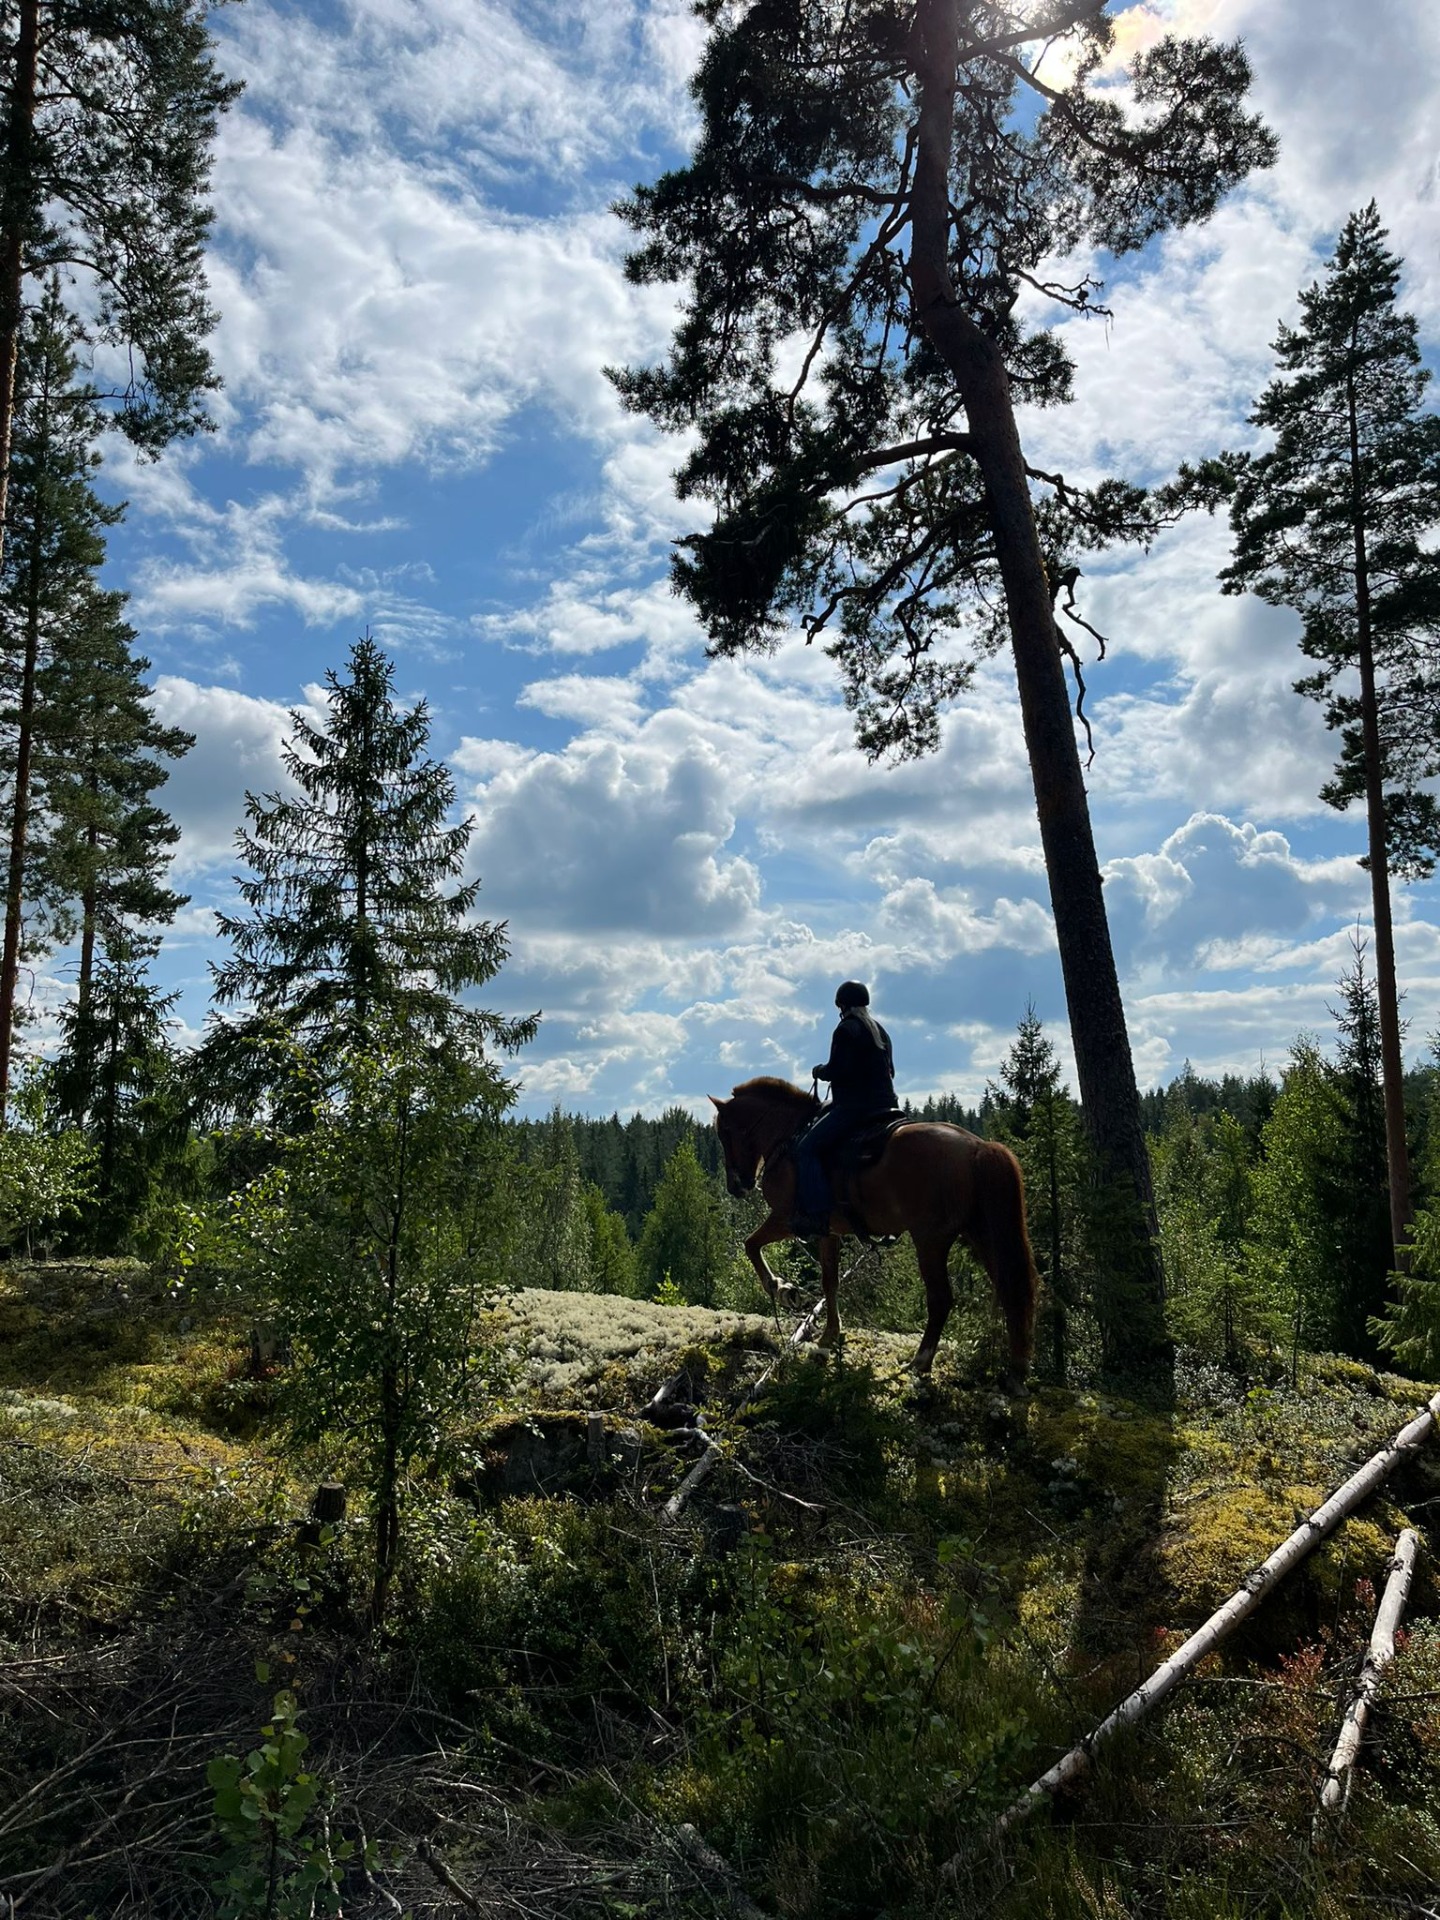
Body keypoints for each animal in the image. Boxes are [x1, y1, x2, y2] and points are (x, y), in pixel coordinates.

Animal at [709, 1077, 1038, 1388]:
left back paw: (921, 1362)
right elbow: (830, 1282)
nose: (736, 1186)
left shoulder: (785, 1219)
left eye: (725, 1133)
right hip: (979, 1234)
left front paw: (782, 1289)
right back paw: (1017, 1369)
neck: (789, 1137)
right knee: (1009, 1287)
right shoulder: (828, 1232)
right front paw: (828, 1338)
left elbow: (750, 1244)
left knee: (941, 1298)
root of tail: (977, 1147)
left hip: (930, 1240)